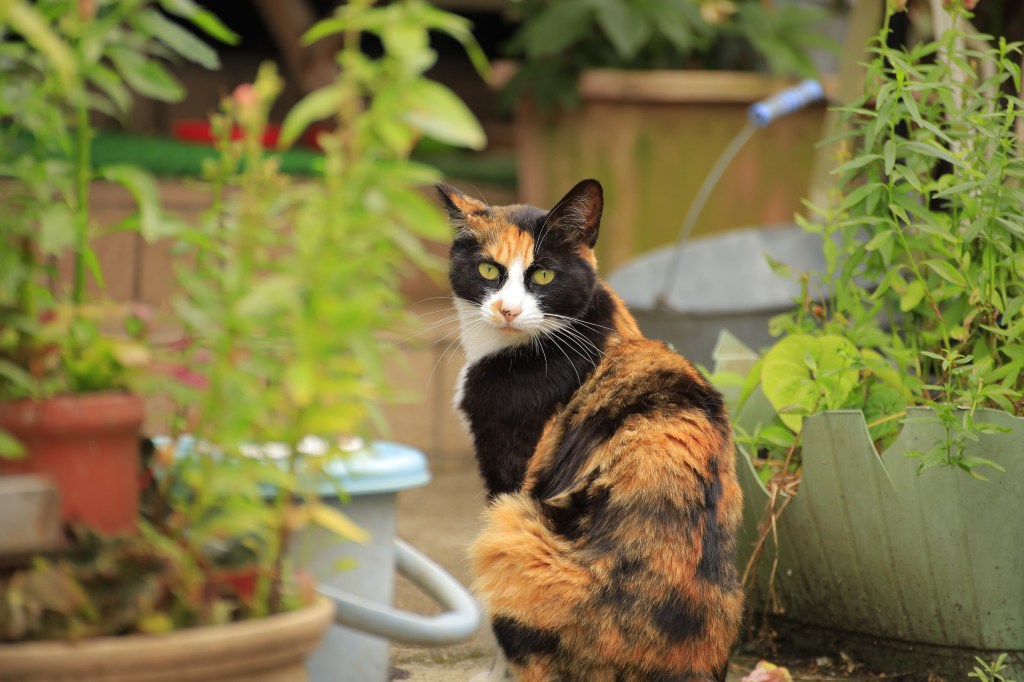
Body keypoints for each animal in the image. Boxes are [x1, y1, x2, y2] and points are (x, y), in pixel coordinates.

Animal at [438, 179, 744, 682]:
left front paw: (491, 672)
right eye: (488, 270)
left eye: (543, 275)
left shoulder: (509, 466)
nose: (507, 310)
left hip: (509, 528)